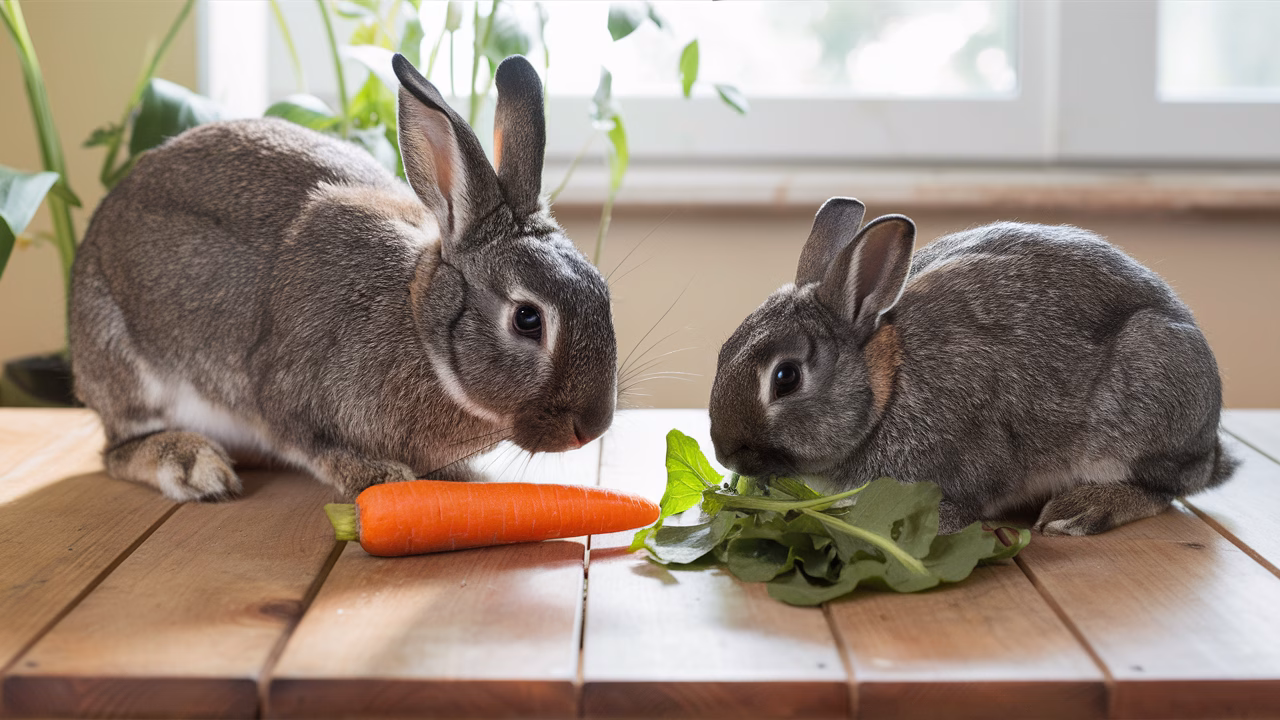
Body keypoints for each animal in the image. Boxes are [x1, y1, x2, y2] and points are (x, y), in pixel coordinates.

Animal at [69, 54, 617, 502]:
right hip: (128, 367)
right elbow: (313, 444)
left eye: (603, 291)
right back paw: (193, 466)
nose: (592, 428)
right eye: (527, 319)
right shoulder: (286, 396)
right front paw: (380, 478)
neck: (420, 326)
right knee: (116, 452)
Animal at [708, 197, 1235, 536]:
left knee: (1164, 488)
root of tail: (1210, 448)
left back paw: (1083, 510)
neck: (886, 389)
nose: (725, 453)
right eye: (723, 350)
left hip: (1146, 400)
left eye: (785, 378)